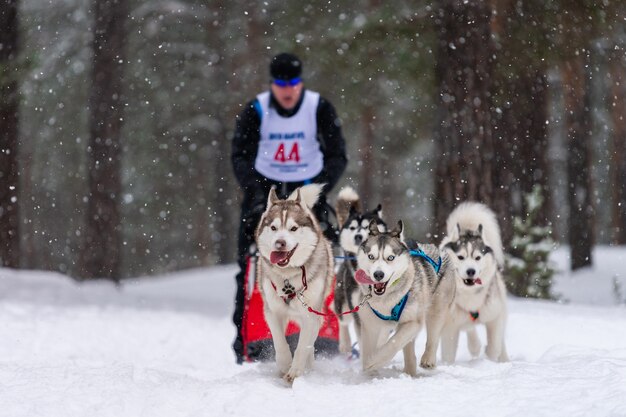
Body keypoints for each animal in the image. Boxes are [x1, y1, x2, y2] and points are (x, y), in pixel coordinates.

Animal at [254, 184, 334, 382]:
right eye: (274, 227)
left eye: (293, 228)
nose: (280, 243)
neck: (288, 277)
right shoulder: (272, 311)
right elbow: (280, 342)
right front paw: (284, 365)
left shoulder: (310, 315)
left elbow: (303, 345)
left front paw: (296, 371)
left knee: (310, 343)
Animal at [332, 188, 386, 354]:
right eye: (353, 227)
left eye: (369, 226)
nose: (358, 236)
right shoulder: (357, 309)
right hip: (342, 299)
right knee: (341, 318)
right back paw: (345, 344)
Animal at [354, 221, 450, 374]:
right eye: (371, 256)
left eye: (390, 257)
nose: (378, 274)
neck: (385, 300)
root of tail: (437, 249)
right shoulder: (370, 323)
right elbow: (369, 347)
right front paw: (369, 370)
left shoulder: (413, 321)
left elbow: (393, 343)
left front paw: (374, 362)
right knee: (407, 347)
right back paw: (409, 370)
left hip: (437, 309)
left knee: (433, 336)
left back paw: (428, 360)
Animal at [438, 201, 508, 360]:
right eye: (460, 257)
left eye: (477, 258)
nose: (471, 271)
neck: (470, 296)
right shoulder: (450, 327)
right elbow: (448, 355)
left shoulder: (495, 316)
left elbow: (495, 346)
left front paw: (490, 357)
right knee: (469, 329)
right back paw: (475, 347)